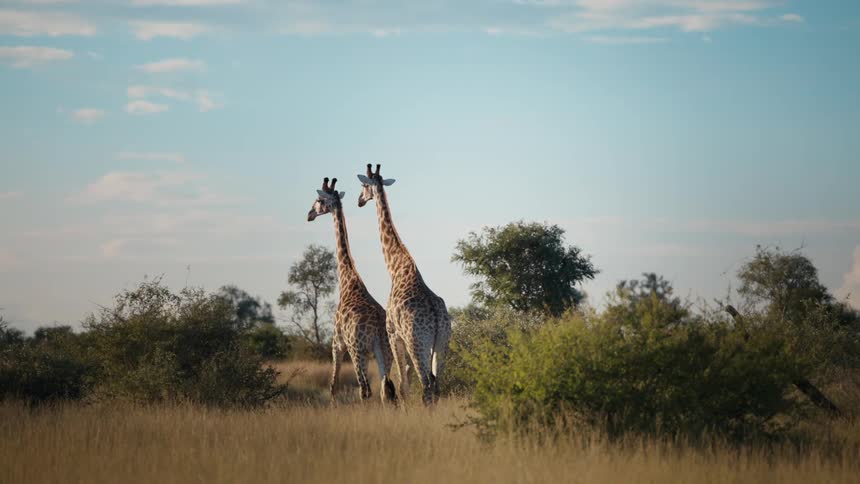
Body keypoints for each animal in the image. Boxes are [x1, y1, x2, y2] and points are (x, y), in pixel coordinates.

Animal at [307, 177, 397, 404]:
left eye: (319, 200)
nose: (309, 214)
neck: (348, 280)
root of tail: (377, 328)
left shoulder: (337, 342)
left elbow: (333, 385)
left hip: (358, 350)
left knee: (366, 389)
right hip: (384, 350)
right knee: (387, 389)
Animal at [357, 164, 451, 405]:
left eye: (363, 186)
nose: (359, 201)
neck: (396, 268)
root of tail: (436, 319)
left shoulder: (393, 334)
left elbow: (402, 385)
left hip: (416, 343)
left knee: (426, 386)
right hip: (442, 343)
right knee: (437, 385)